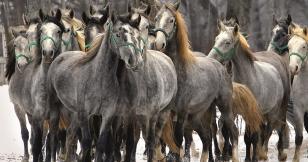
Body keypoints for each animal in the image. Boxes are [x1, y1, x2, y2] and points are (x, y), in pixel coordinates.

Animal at [153, 2, 238, 162]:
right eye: (156, 18)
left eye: (171, 20)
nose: (159, 43)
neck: (178, 72)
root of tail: (221, 67)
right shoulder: (167, 113)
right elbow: (159, 140)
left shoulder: (181, 113)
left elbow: (177, 141)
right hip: (196, 117)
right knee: (206, 138)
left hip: (224, 108)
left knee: (233, 132)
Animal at [207, 18, 292, 161]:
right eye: (216, 39)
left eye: (227, 42)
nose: (210, 59)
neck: (247, 80)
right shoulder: (233, 111)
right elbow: (229, 132)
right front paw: (230, 155)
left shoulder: (250, 113)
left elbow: (250, 136)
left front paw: (252, 157)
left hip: (275, 111)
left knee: (271, 130)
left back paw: (267, 153)